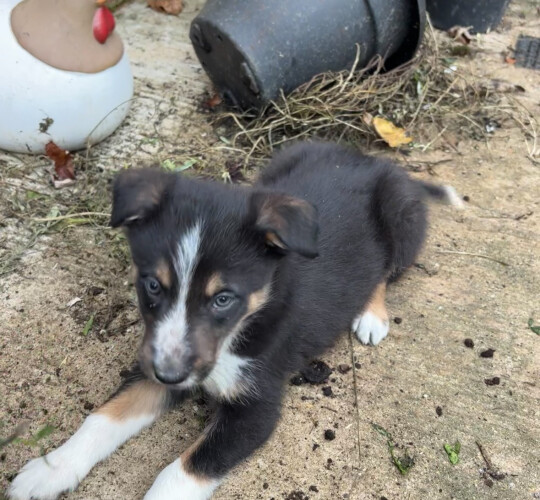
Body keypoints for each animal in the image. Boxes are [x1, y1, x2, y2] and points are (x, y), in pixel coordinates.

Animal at [8, 142, 462, 500]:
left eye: (223, 298)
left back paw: (370, 314)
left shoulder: (257, 407)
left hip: (401, 220)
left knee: (386, 269)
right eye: (153, 285)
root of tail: (373, 161)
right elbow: (102, 418)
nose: (169, 375)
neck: (243, 327)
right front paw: (51, 469)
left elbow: (182, 471)